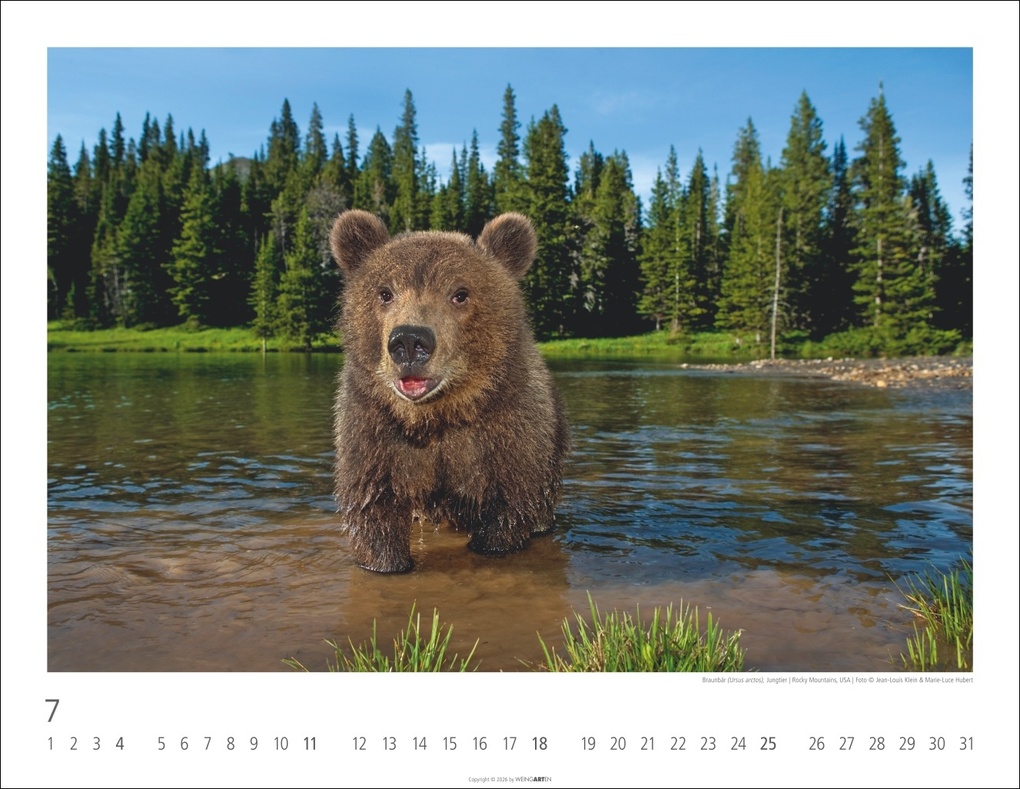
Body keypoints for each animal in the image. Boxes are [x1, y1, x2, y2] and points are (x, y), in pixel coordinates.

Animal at [328, 210, 570, 573]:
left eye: (460, 293)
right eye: (385, 292)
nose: (409, 341)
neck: (438, 414)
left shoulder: (509, 435)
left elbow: (508, 512)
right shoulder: (373, 434)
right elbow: (373, 514)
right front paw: (386, 561)